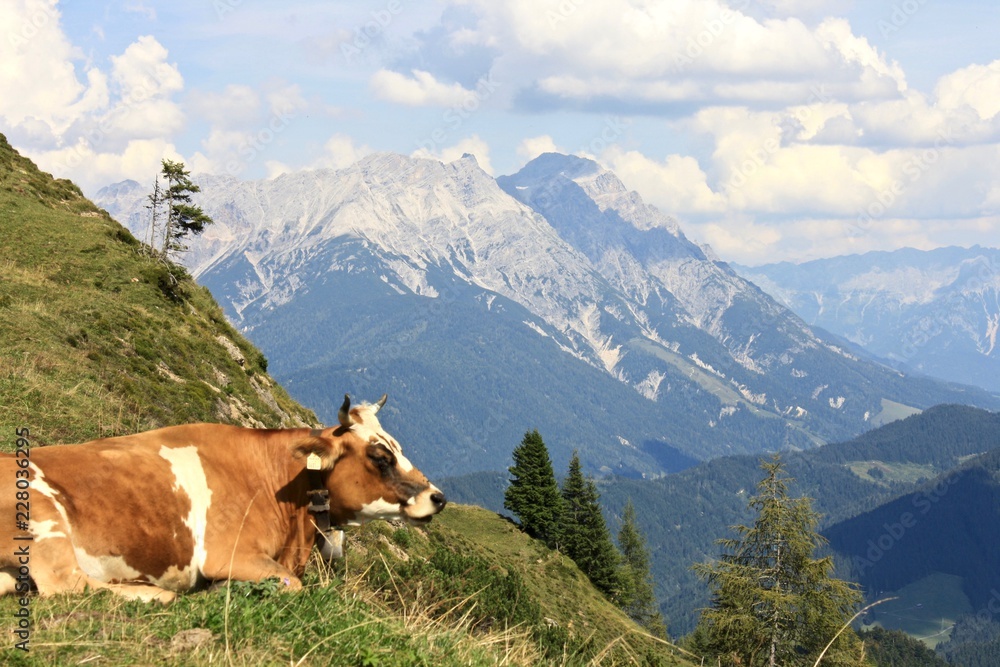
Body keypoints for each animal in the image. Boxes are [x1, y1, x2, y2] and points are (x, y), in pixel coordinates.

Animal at [0, 394, 446, 604]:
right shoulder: (229, 553)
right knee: (67, 584)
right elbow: (293, 585)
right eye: (380, 457)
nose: (437, 497)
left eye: (398, 446)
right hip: (42, 518)